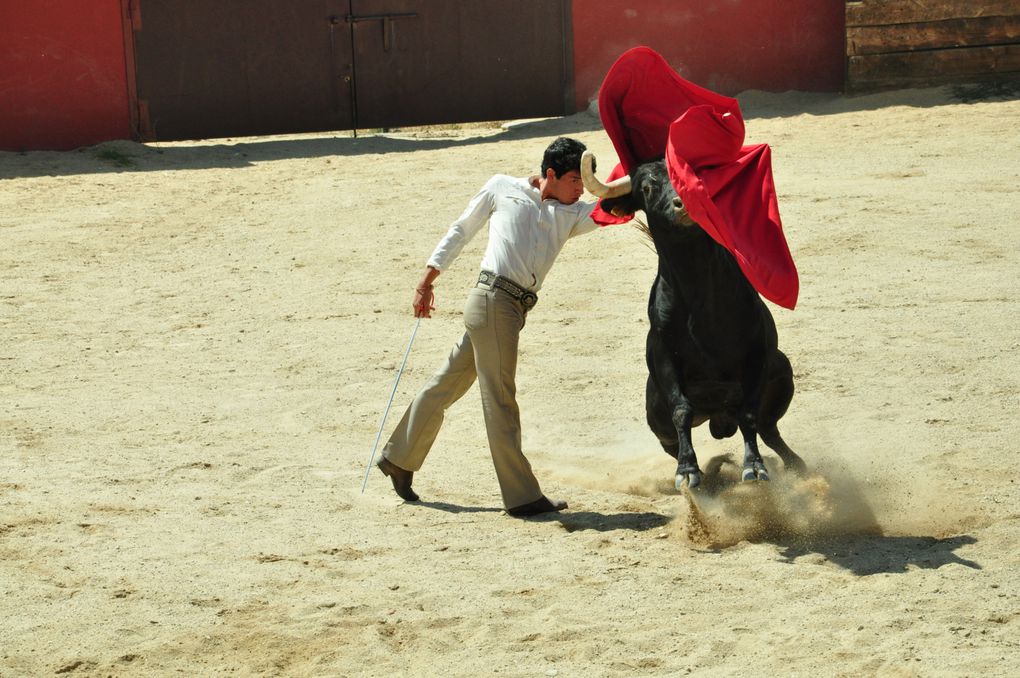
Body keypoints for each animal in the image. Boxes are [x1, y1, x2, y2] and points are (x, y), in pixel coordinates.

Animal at [583, 152, 803, 487]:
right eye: (646, 188)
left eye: (691, 177)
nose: (682, 205)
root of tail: (718, 420)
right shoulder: (664, 356)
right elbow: (681, 411)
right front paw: (688, 471)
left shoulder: (756, 350)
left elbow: (749, 413)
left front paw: (754, 467)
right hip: (655, 415)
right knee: (672, 440)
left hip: (782, 371)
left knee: (767, 427)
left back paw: (796, 467)